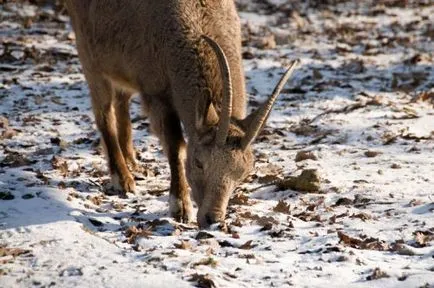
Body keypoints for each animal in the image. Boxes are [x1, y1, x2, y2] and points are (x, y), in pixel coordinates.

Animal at [65, 0, 298, 230]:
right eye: (198, 162)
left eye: (243, 173)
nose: (213, 220)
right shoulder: (158, 94)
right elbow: (175, 146)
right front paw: (181, 207)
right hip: (90, 56)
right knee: (104, 113)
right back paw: (122, 179)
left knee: (122, 99)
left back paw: (132, 161)